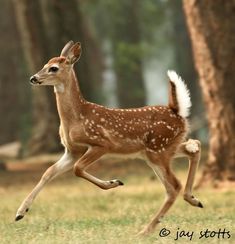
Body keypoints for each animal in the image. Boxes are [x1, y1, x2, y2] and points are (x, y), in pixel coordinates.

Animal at [15, 41, 202, 235]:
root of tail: (177, 111)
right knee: (194, 147)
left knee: (174, 185)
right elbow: (49, 172)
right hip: (162, 149)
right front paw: (20, 212)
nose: (33, 78)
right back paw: (193, 199)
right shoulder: (72, 150)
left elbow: (77, 168)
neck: (76, 118)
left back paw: (145, 230)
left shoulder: (102, 144)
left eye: (53, 68)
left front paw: (114, 182)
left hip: (157, 150)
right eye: (45, 64)